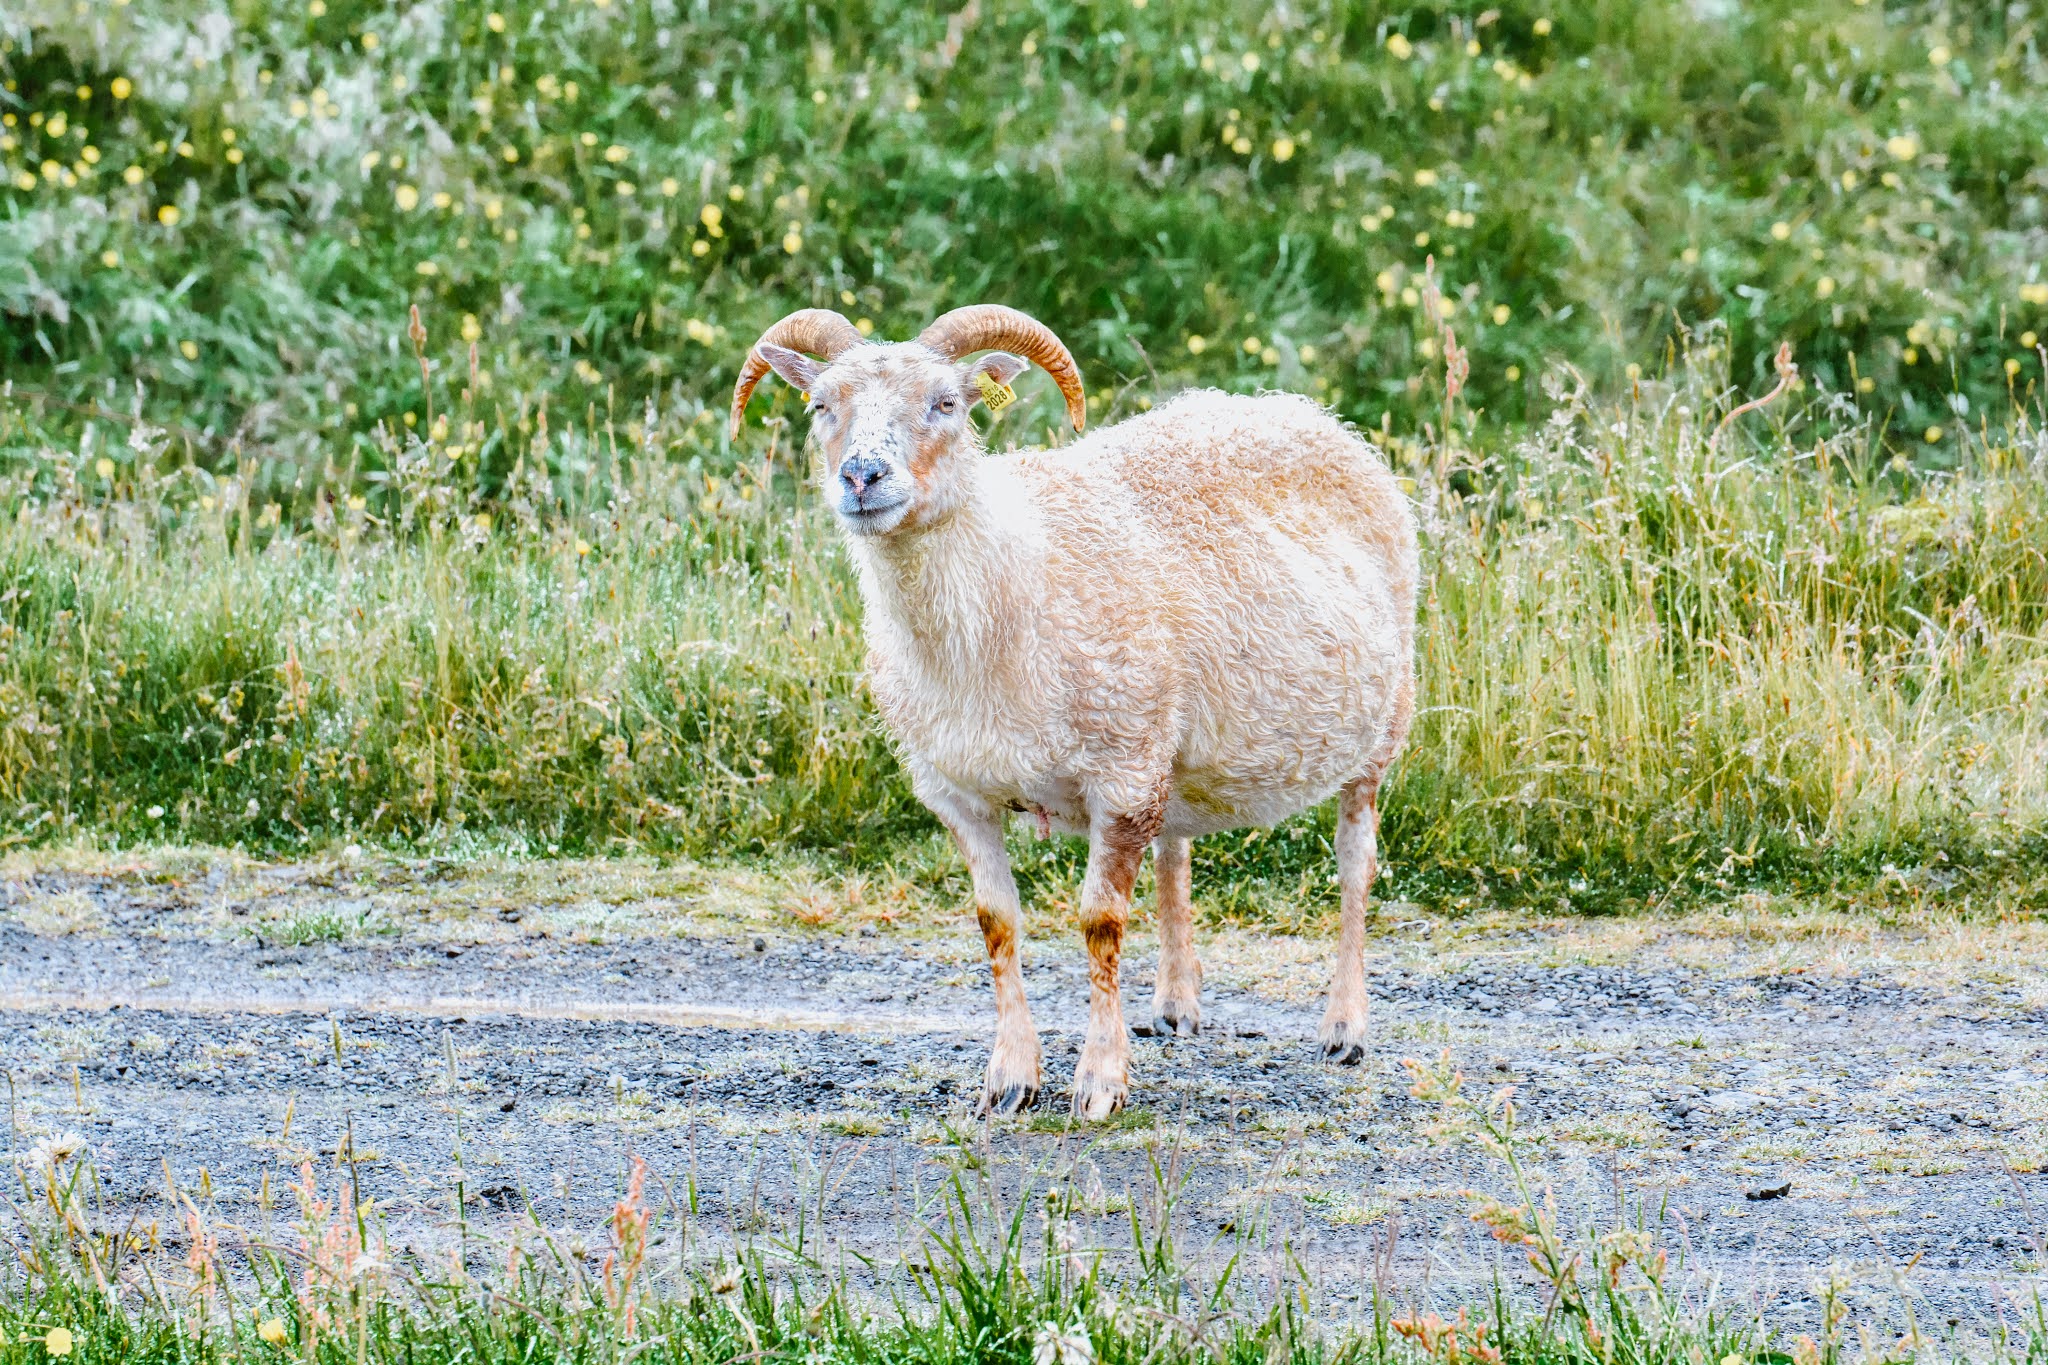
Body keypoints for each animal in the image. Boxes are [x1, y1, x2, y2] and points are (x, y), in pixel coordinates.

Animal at [737, 306, 1425, 1121]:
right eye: (821, 406)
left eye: (946, 402)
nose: (861, 477)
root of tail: (1303, 413)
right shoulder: (958, 792)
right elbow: (995, 923)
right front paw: (1010, 1079)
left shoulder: (1120, 778)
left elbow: (1100, 925)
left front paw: (1099, 1083)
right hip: (1167, 743)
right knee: (1175, 853)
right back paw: (1175, 1004)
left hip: (1376, 729)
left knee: (1355, 865)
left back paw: (1344, 1028)